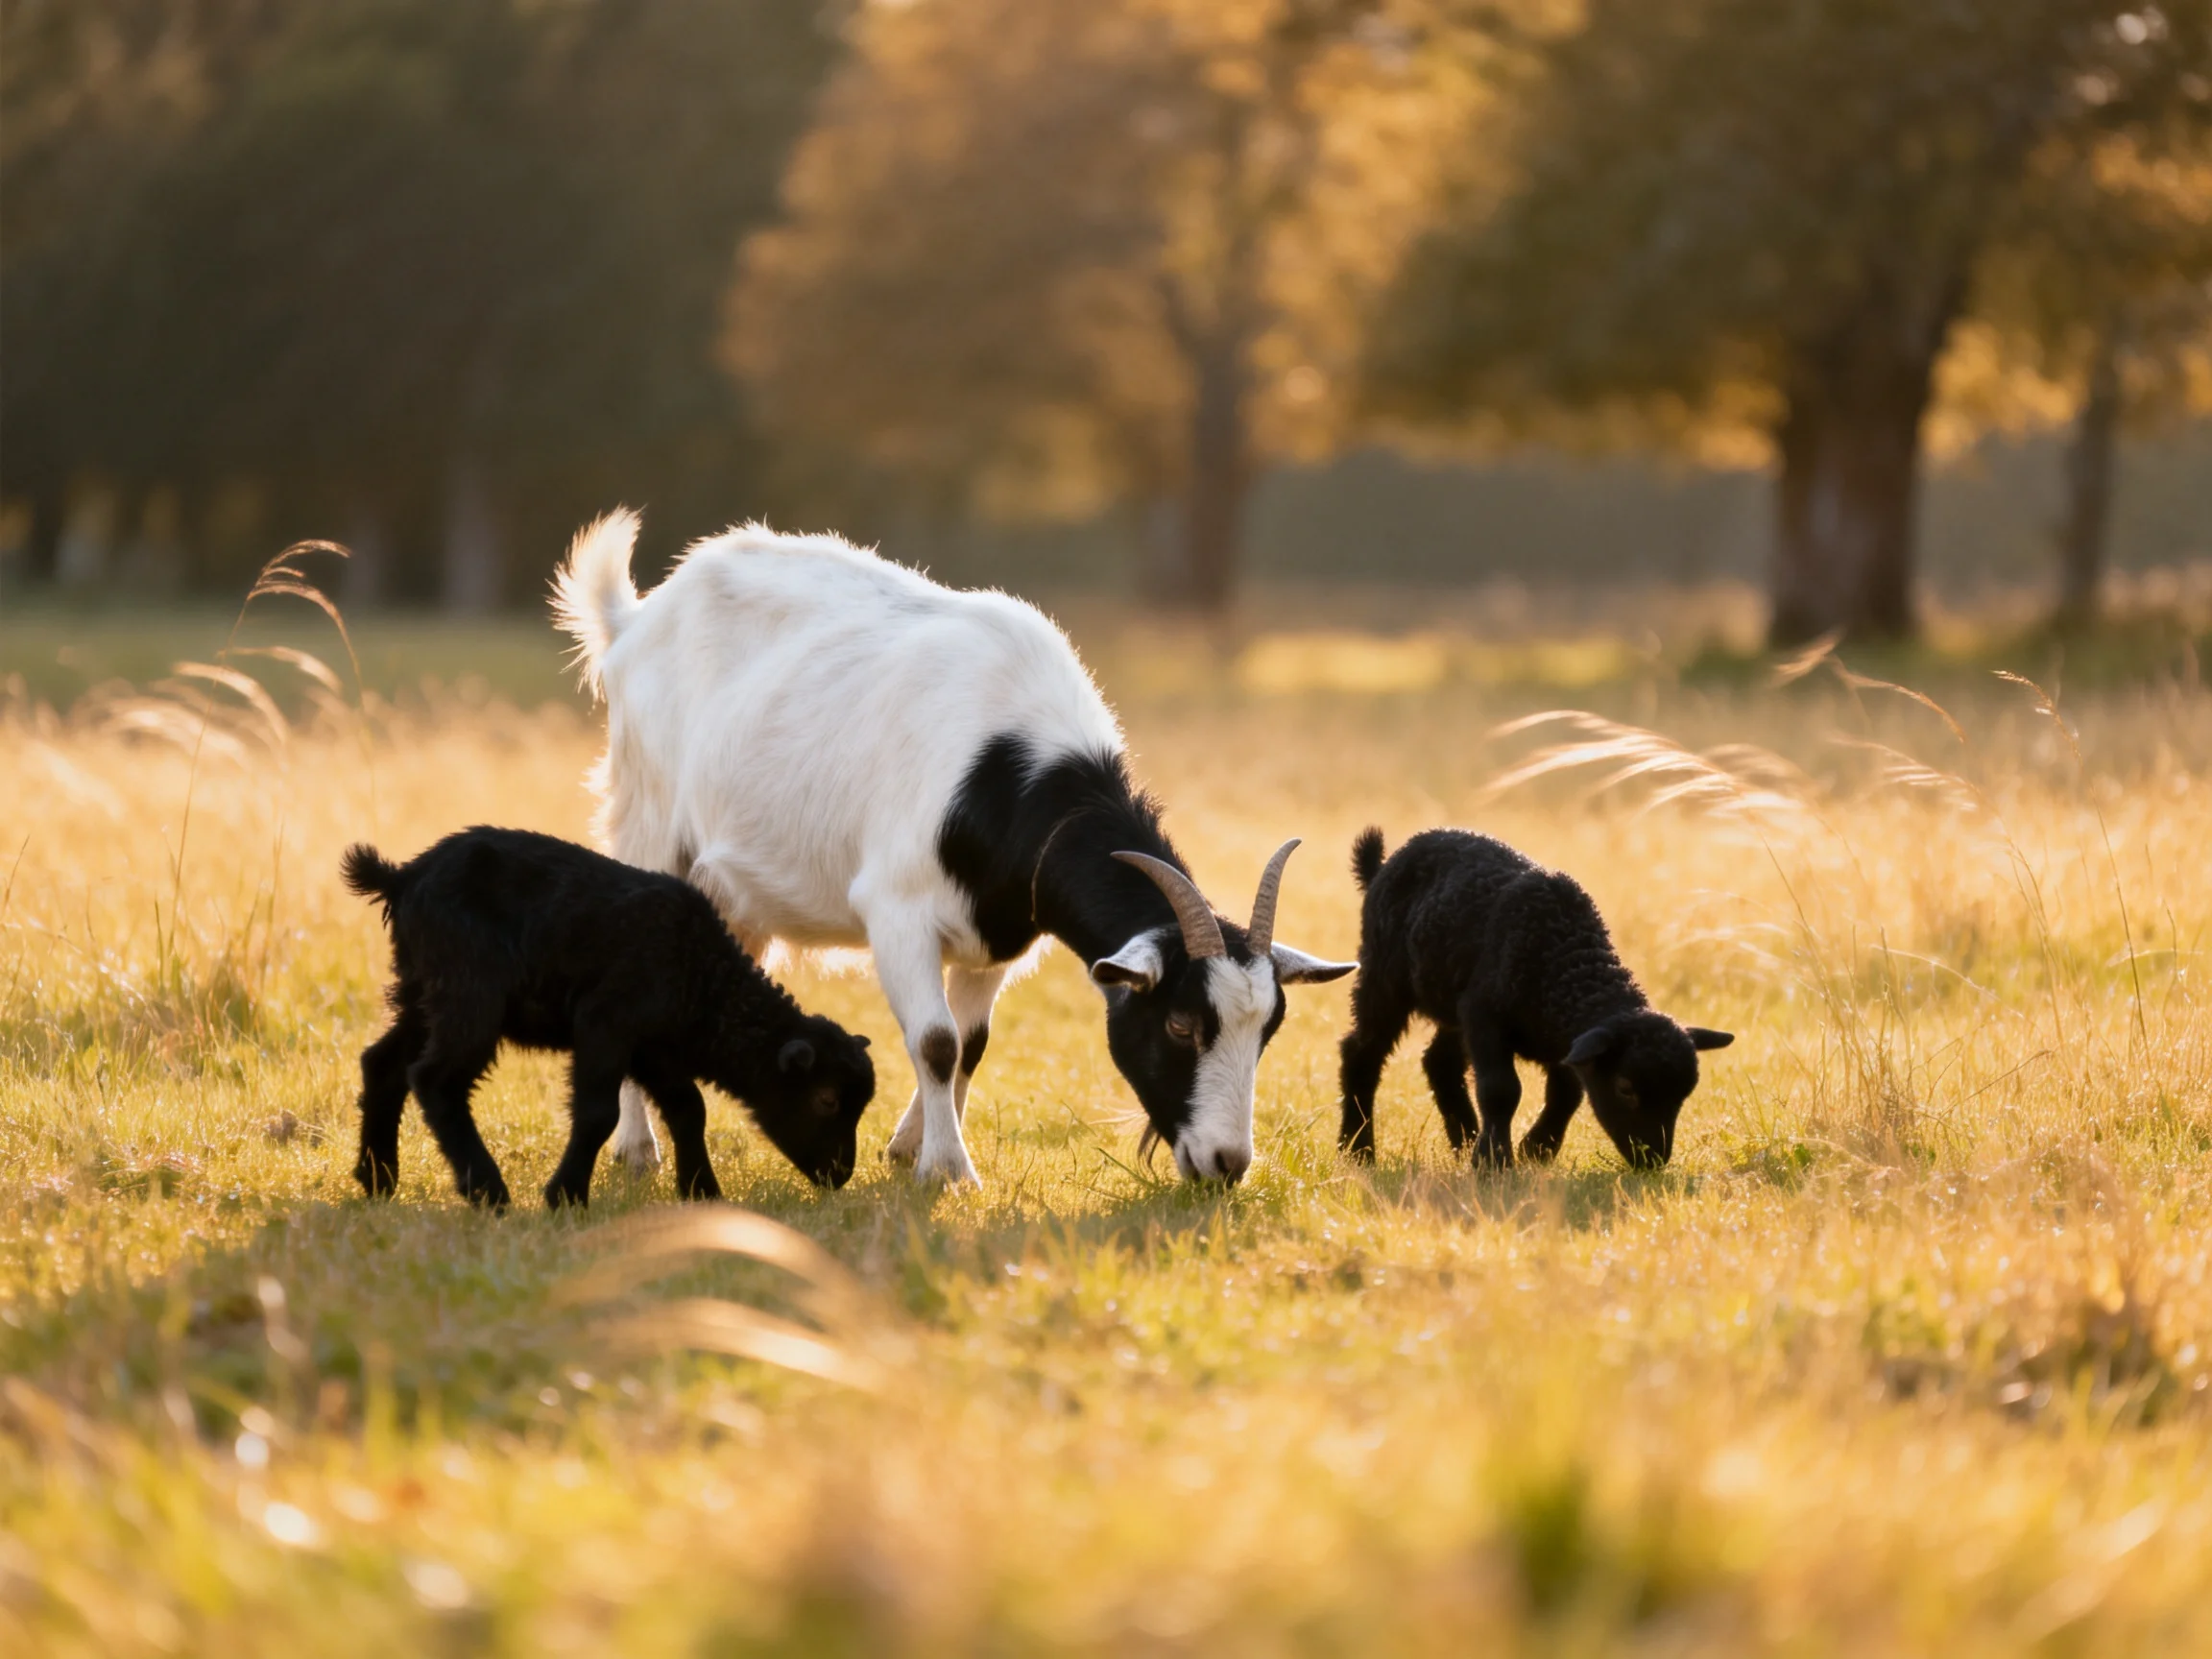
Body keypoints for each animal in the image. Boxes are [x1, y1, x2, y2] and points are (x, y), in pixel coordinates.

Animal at [342, 826, 876, 1208]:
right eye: (826, 1099)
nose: (840, 1175)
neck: (702, 978)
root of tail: (403, 877)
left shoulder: (654, 1048)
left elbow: (689, 1108)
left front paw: (702, 1192)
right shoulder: (606, 1024)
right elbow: (600, 1114)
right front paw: (566, 1196)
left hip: (421, 990)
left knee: (382, 1063)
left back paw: (377, 1178)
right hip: (469, 991)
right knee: (435, 1079)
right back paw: (486, 1190)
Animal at [551, 510, 1353, 1188]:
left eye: (1270, 1029)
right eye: (1182, 1024)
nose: (1226, 1164)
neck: (1013, 775)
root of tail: (636, 622)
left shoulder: (996, 938)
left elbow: (971, 1044)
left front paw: (912, 1148)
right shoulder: (897, 911)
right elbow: (935, 1041)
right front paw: (950, 1171)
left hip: (736, 895)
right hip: (648, 829)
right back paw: (637, 1149)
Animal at [1336, 827, 1732, 1169]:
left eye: (1684, 1095)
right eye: (1625, 1088)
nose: (1653, 1160)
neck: (1566, 963)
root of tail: (1381, 867)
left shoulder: (1562, 1042)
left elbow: (1567, 1093)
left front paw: (1536, 1149)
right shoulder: (1485, 1015)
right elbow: (1501, 1090)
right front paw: (1495, 1161)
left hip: (1452, 1002)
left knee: (1439, 1063)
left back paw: (1465, 1139)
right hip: (1383, 976)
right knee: (1361, 1052)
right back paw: (1358, 1149)